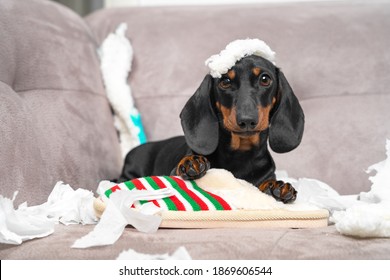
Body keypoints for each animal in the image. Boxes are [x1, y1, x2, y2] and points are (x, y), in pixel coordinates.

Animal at [119, 54, 304, 203]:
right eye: (225, 81)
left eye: (265, 79)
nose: (247, 120)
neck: (241, 154)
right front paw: (191, 162)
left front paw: (276, 186)